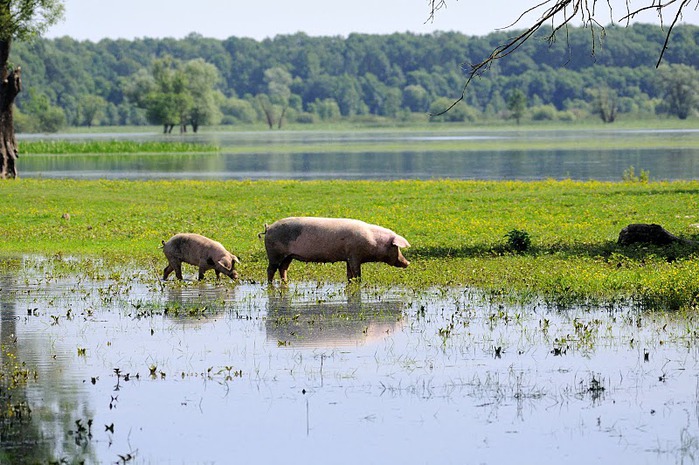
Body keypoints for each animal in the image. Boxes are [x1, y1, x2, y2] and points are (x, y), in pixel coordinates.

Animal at [262, 218, 410, 282]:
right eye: (396, 247)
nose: (407, 263)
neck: (374, 241)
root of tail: (268, 228)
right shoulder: (355, 256)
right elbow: (357, 274)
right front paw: (359, 282)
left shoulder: (348, 258)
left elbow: (349, 274)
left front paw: (350, 282)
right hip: (275, 254)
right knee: (271, 269)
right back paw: (270, 284)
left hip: (289, 256)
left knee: (283, 269)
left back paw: (285, 282)